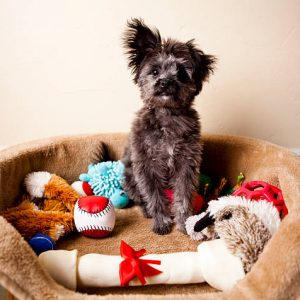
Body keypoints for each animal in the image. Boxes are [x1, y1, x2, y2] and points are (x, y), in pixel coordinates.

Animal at [122, 18, 216, 234]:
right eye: (155, 71)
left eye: (181, 73)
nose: (165, 82)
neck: (167, 117)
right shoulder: (147, 166)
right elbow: (154, 196)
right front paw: (162, 221)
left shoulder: (186, 164)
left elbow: (184, 195)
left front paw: (184, 222)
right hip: (130, 178)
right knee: (140, 198)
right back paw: (146, 211)